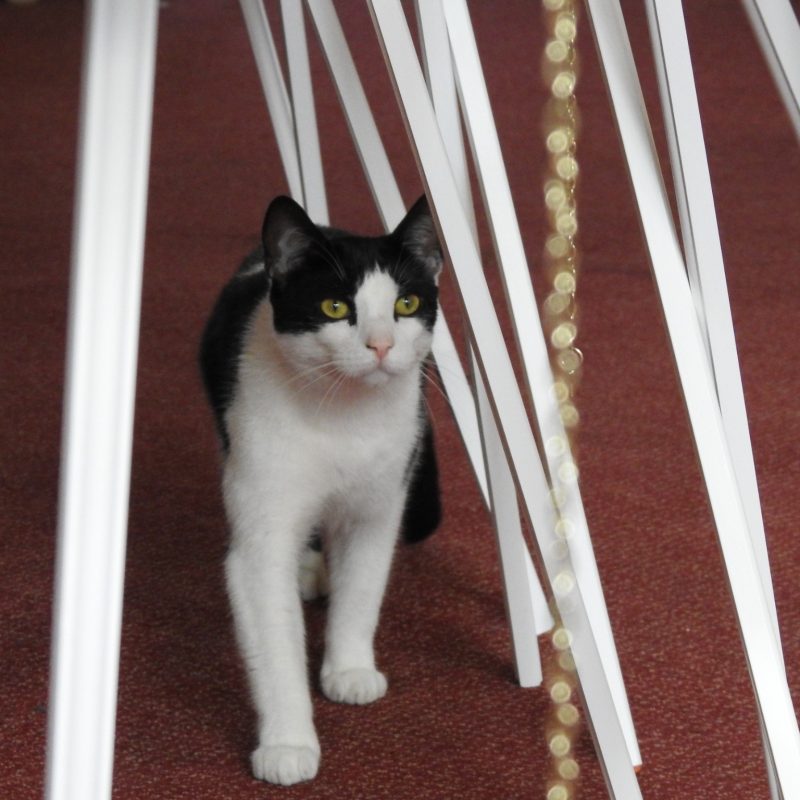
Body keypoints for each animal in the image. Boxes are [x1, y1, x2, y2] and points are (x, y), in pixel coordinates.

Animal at [198, 195, 440, 788]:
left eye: (405, 303)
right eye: (334, 307)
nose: (381, 345)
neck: (344, 420)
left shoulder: (378, 508)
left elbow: (363, 589)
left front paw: (350, 668)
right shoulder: (261, 529)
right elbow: (275, 642)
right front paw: (288, 744)